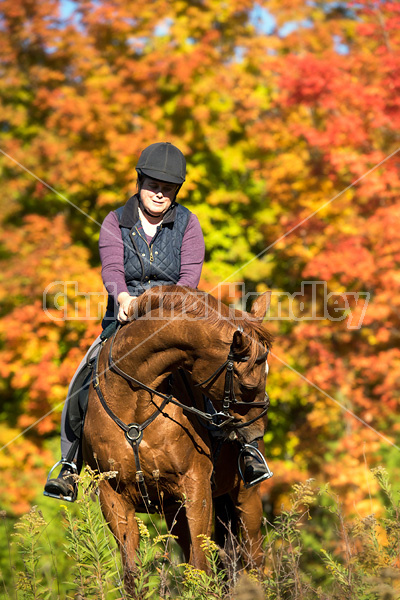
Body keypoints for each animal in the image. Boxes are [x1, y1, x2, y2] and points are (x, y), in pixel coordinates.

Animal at [83, 288, 274, 592]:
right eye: (247, 386)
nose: (256, 434)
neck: (134, 399)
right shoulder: (112, 496)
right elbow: (133, 576)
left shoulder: (196, 487)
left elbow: (201, 566)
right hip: (175, 510)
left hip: (247, 498)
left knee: (254, 561)